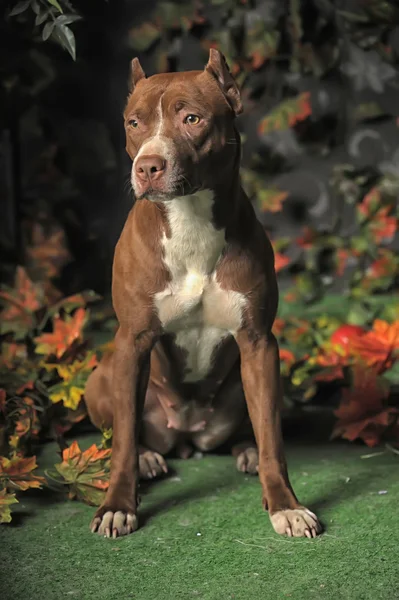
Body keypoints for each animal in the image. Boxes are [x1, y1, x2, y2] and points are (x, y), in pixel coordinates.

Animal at [86, 49, 324, 540]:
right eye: (134, 123)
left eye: (192, 118)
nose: (147, 166)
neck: (189, 220)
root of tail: (187, 436)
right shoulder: (133, 342)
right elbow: (122, 441)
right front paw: (118, 506)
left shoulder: (258, 342)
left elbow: (273, 438)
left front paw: (285, 505)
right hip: (103, 377)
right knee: (127, 430)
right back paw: (149, 457)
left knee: (253, 425)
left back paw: (245, 450)